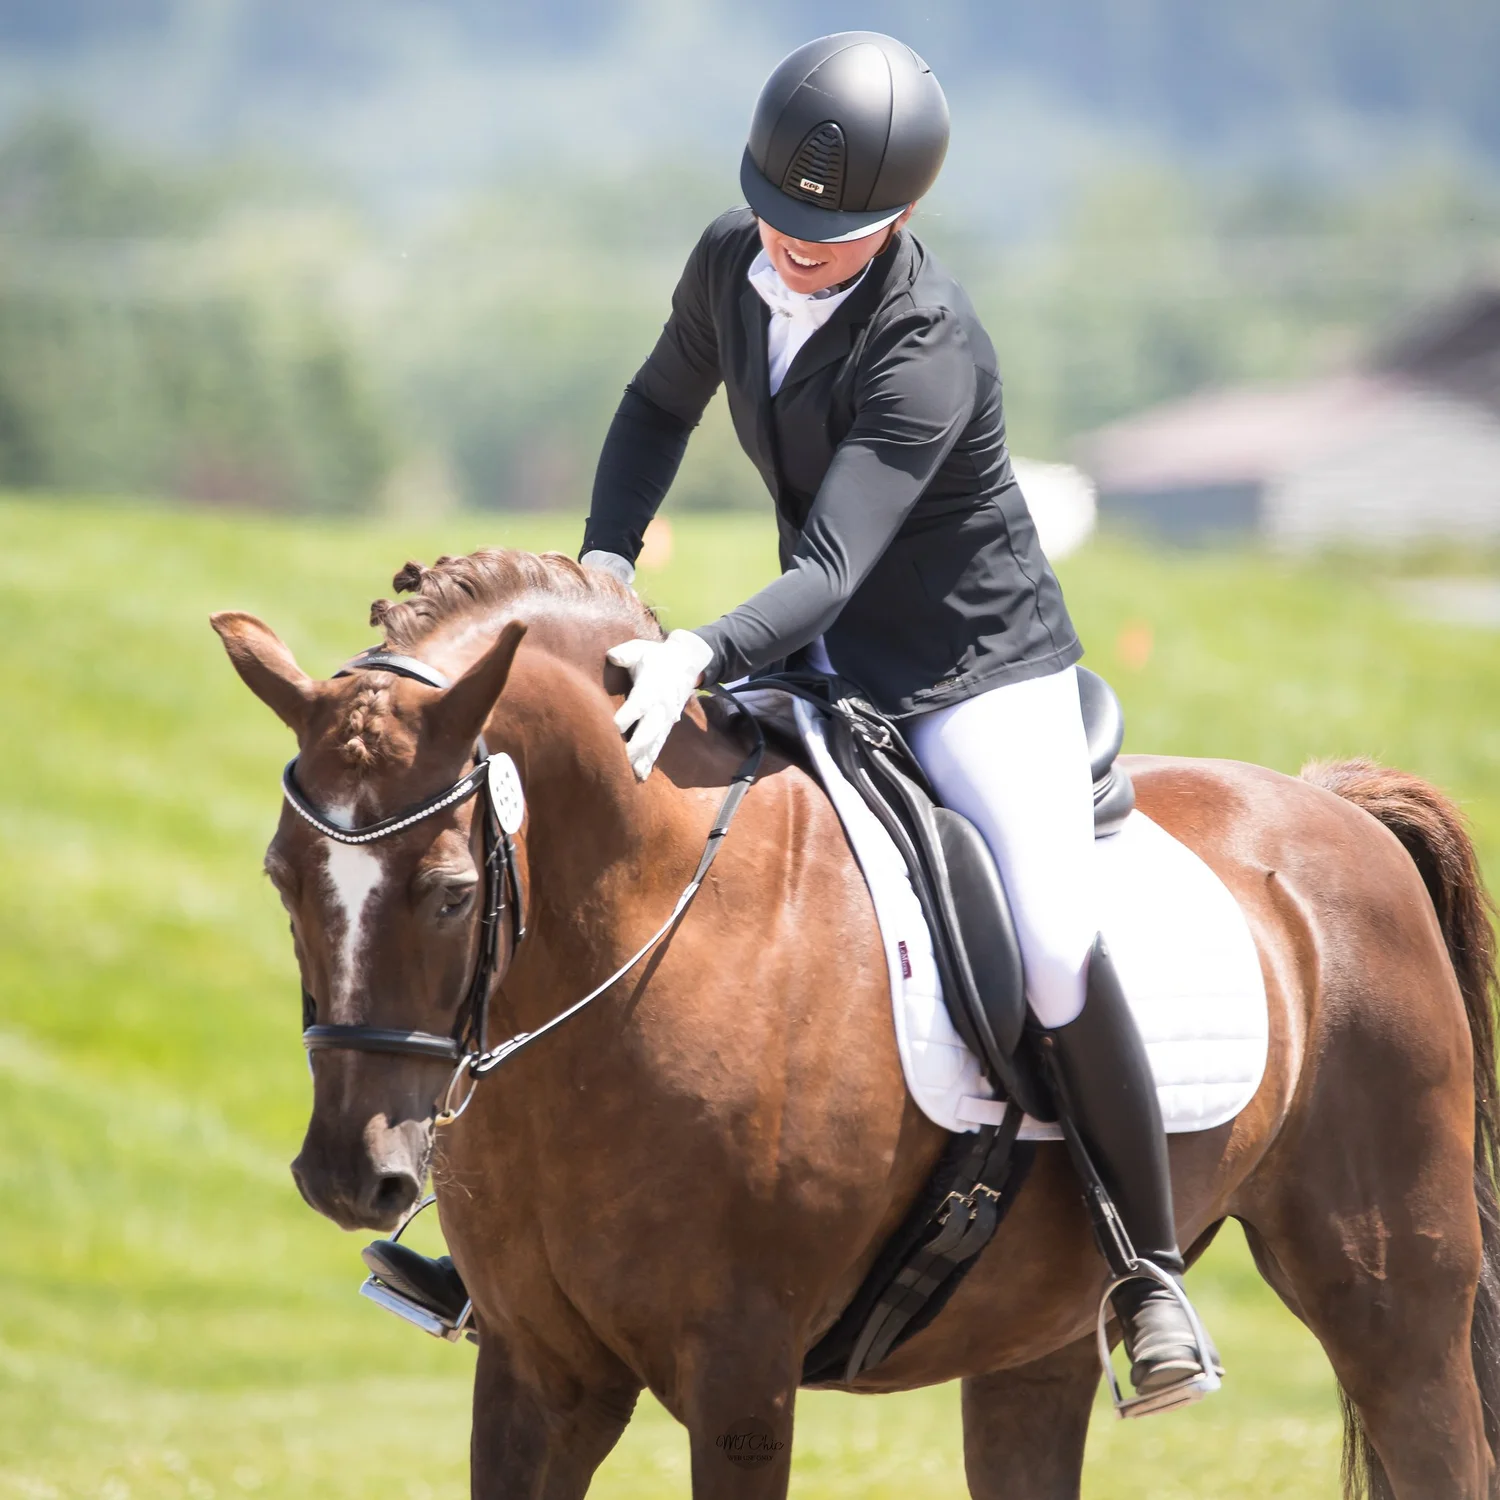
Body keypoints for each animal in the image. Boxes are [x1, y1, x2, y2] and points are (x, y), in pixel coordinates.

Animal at [212, 547, 1500, 1500]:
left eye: (448, 893)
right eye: (281, 875)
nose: (350, 1177)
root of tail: (1336, 806)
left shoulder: (742, 1376)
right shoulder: (539, 1377)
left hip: (1394, 1307)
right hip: (1035, 1346)